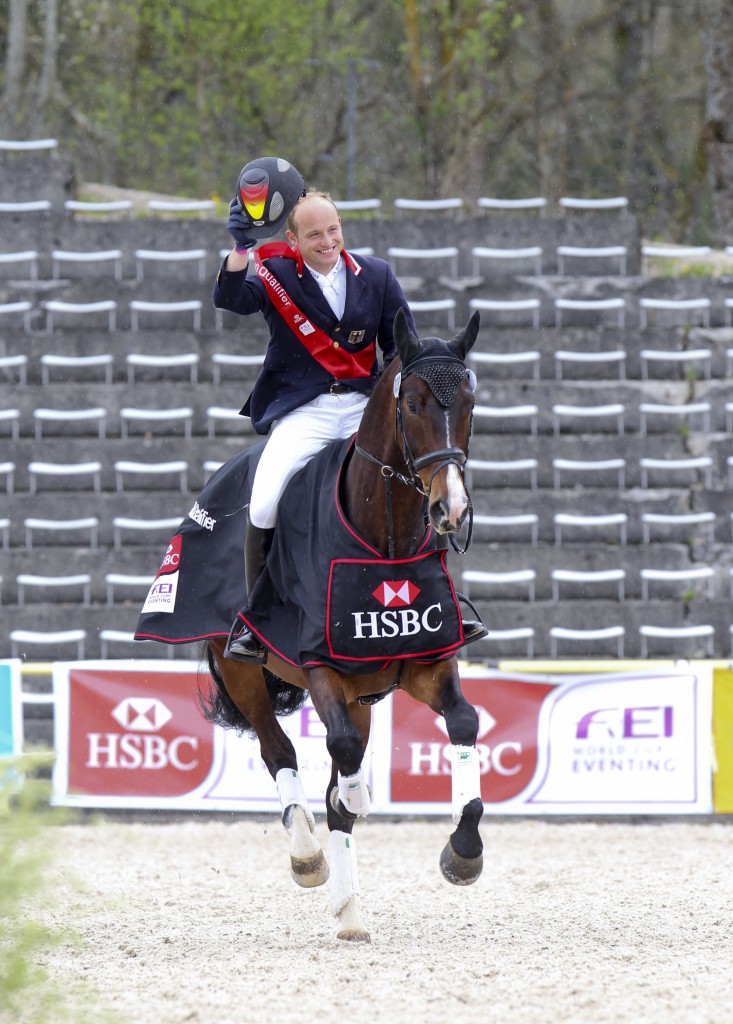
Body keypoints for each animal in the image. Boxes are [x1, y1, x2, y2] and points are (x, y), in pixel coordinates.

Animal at [203, 309, 483, 942]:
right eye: (413, 404)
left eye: (471, 402)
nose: (450, 510)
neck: (385, 535)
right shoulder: (320, 667)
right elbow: (343, 762)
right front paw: (358, 798)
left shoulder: (426, 664)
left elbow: (464, 722)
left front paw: (464, 851)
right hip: (242, 671)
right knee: (279, 750)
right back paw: (309, 858)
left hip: (361, 692)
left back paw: (350, 913)